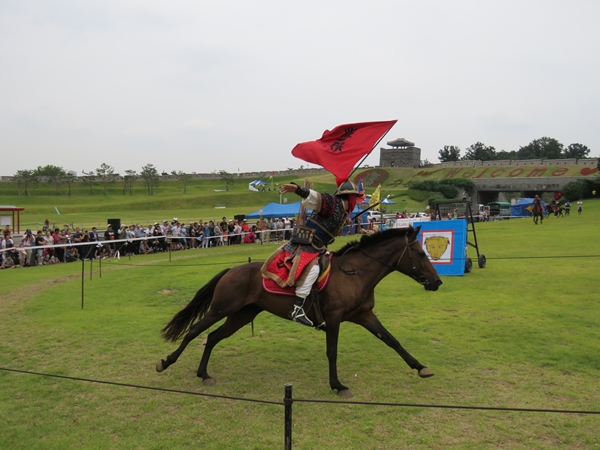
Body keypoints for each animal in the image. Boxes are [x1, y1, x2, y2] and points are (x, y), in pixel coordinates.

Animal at [157, 227, 442, 396]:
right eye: (420, 253)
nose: (437, 282)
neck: (355, 273)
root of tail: (232, 270)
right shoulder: (334, 319)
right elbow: (332, 351)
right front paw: (337, 385)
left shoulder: (365, 316)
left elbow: (392, 341)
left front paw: (420, 367)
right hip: (221, 309)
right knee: (194, 331)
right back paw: (166, 362)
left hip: (242, 315)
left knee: (213, 337)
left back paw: (204, 374)